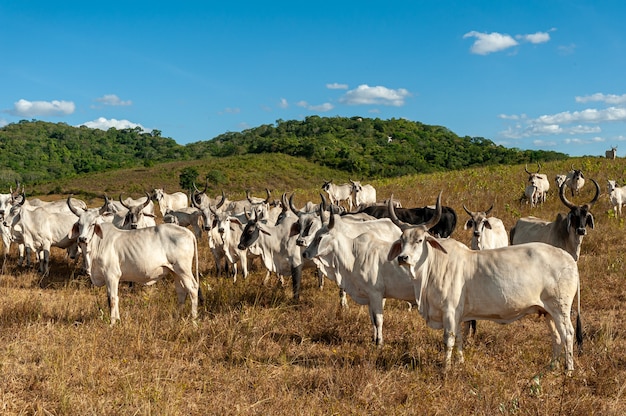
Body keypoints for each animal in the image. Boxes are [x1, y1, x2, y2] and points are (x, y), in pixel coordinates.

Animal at [66, 198, 199, 324]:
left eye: (93, 224)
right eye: (79, 224)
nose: (82, 239)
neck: (97, 243)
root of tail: (188, 232)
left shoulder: (112, 275)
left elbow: (112, 299)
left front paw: (112, 323)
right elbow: (113, 298)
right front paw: (117, 320)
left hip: (183, 270)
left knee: (193, 289)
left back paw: (193, 319)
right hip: (175, 272)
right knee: (181, 292)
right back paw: (176, 318)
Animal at [386, 193, 580, 372]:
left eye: (420, 240)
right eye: (402, 240)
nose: (403, 258)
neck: (434, 265)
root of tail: (569, 259)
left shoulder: (449, 312)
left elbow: (449, 340)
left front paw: (446, 369)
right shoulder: (458, 315)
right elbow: (459, 338)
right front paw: (460, 362)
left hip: (560, 308)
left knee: (568, 334)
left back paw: (568, 370)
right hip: (547, 311)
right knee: (557, 337)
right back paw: (552, 366)